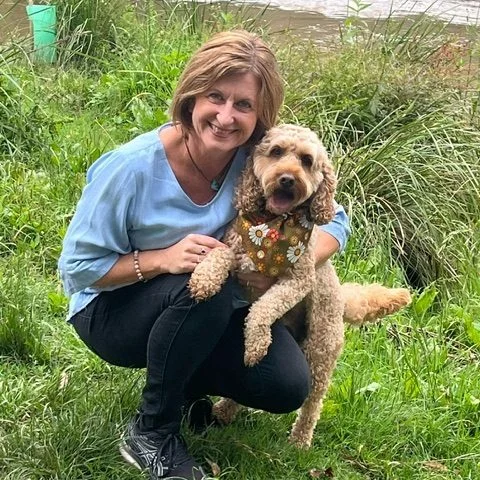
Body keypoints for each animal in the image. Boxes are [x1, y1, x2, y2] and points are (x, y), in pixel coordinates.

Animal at [188, 124, 411, 448]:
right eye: (276, 151)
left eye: (306, 160)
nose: (287, 179)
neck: (271, 226)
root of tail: (342, 300)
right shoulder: (235, 249)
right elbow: (219, 254)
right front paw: (204, 279)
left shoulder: (298, 281)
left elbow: (264, 307)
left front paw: (256, 342)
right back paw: (225, 410)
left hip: (320, 350)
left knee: (313, 403)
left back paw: (300, 442)